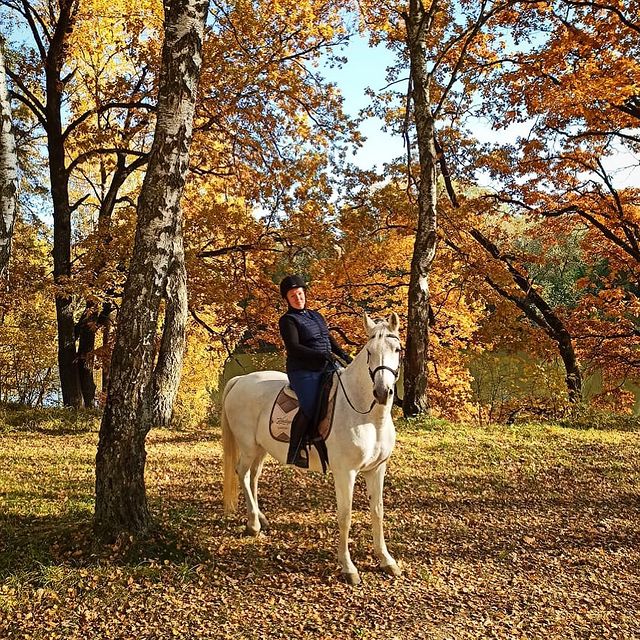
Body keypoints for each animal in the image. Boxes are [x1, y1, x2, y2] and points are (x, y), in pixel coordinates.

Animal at [221, 312, 403, 585]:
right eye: (369, 352)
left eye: (397, 349)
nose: (383, 392)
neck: (367, 417)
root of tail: (241, 380)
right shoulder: (345, 473)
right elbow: (345, 516)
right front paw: (348, 567)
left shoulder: (376, 469)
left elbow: (378, 512)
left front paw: (386, 560)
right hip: (248, 445)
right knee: (242, 473)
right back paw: (253, 524)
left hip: (261, 448)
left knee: (253, 477)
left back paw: (260, 517)